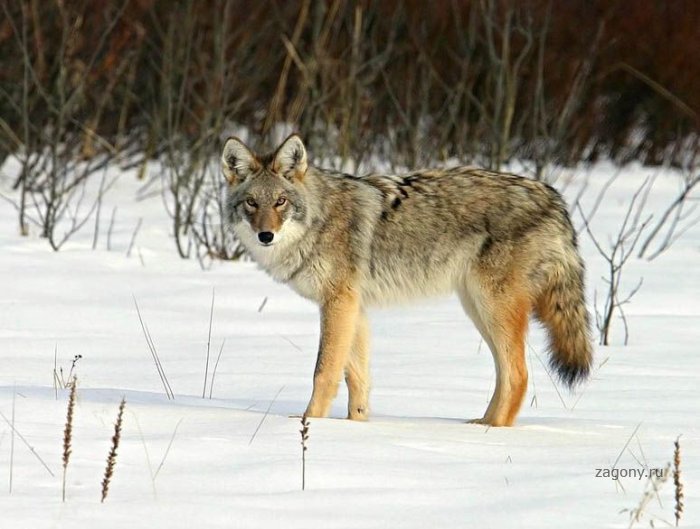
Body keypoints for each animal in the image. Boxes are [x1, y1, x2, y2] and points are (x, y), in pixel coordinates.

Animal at [220, 134, 592, 426]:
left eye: (280, 202)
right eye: (251, 203)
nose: (266, 235)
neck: (318, 220)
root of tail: (554, 197)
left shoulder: (338, 303)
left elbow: (324, 372)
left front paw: (310, 422)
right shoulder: (354, 308)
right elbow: (357, 377)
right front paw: (354, 425)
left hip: (493, 308)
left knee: (518, 374)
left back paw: (492, 431)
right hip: (477, 309)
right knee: (506, 373)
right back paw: (480, 424)